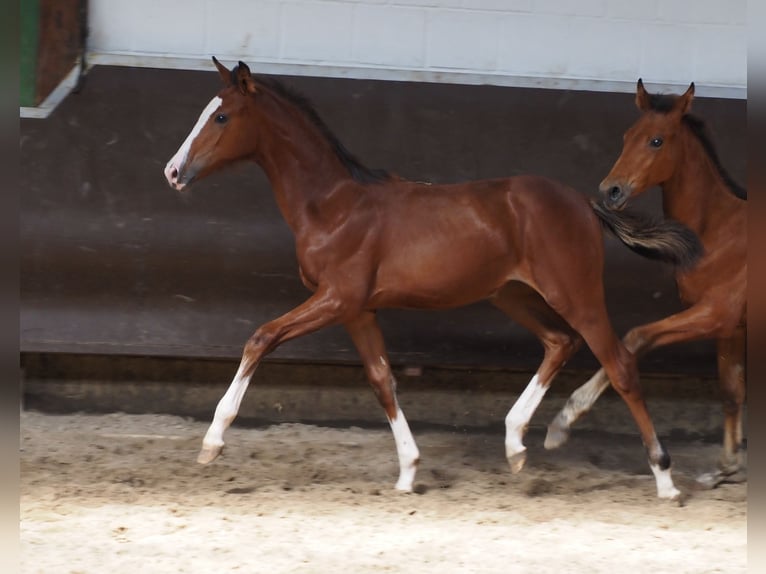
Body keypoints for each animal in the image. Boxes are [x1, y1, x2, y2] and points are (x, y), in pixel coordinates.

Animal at [165, 58, 704, 500]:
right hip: (510, 294)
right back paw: (516, 443)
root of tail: (584, 202)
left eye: (221, 117)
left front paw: (212, 441)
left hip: (577, 294)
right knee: (559, 342)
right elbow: (382, 380)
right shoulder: (358, 309)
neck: (333, 206)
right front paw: (408, 471)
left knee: (619, 364)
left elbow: (261, 337)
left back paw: (664, 478)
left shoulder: (336, 298)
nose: (172, 171)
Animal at [544, 79, 752, 488]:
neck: (721, 230)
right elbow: (730, 391)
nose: (611, 191)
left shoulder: (716, 313)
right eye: (627, 136)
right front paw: (726, 468)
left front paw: (564, 419)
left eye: (656, 141)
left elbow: (635, 338)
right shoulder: (731, 326)